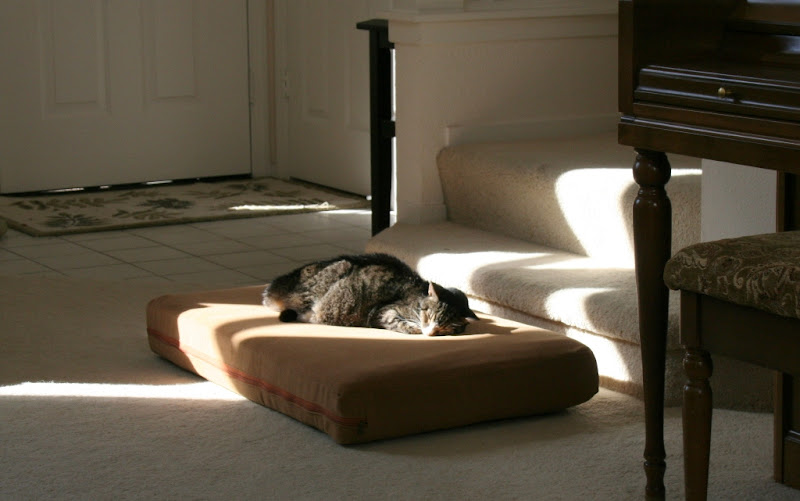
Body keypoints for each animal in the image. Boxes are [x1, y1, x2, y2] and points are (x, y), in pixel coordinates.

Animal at [260, 252, 476, 334]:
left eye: (446, 328)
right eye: (428, 316)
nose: (431, 332)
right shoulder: (383, 311)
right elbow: (400, 323)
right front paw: (415, 328)